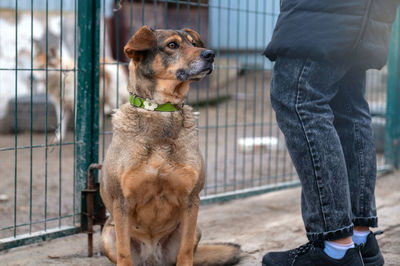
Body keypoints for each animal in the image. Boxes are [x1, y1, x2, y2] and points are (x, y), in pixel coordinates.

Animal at [99, 26, 241, 266]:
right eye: (172, 45)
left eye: (193, 43)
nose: (211, 54)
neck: (161, 109)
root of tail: (152, 258)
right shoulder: (121, 202)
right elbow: (124, 254)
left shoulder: (191, 199)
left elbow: (185, 251)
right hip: (107, 235)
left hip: (196, 229)